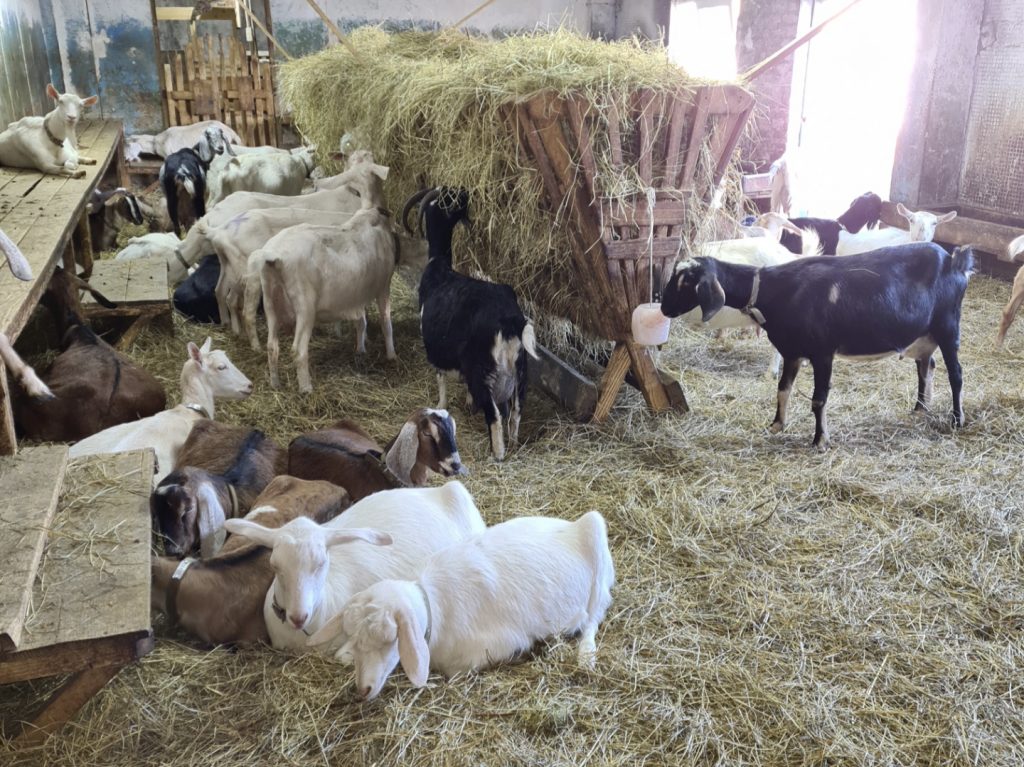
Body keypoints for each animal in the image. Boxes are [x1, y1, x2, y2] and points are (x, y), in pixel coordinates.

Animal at [246, 163, 398, 391]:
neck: (370, 212)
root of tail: (272, 255)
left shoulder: (357, 292)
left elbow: (360, 321)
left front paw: (360, 349)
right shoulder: (383, 286)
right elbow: (385, 322)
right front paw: (391, 355)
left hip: (271, 301)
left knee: (272, 346)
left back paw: (275, 384)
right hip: (304, 305)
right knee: (298, 350)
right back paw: (306, 389)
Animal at [308, 510, 615, 701]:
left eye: (390, 639)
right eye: (354, 635)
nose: (363, 689)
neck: (434, 607)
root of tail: (571, 525)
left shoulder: (492, 647)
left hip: (596, 537)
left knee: (594, 616)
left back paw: (586, 655)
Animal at [404, 187, 538, 461]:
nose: (465, 191)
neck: (439, 266)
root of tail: (511, 320)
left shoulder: (434, 346)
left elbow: (440, 377)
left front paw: (441, 405)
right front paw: (466, 404)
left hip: (483, 369)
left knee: (495, 416)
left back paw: (498, 453)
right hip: (521, 369)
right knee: (517, 411)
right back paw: (514, 443)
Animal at [661, 243, 975, 448]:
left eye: (686, 282)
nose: (663, 308)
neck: (775, 289)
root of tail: (954, 259)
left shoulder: (823, 352)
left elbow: (818, 399)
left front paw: (820, 440)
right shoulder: (792, 352)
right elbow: (782, 389)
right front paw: (777, 425)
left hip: (948, 327)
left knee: (956, 374)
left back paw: (957, 419)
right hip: (924, 335)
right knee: (926, 365)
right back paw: (920, 408)